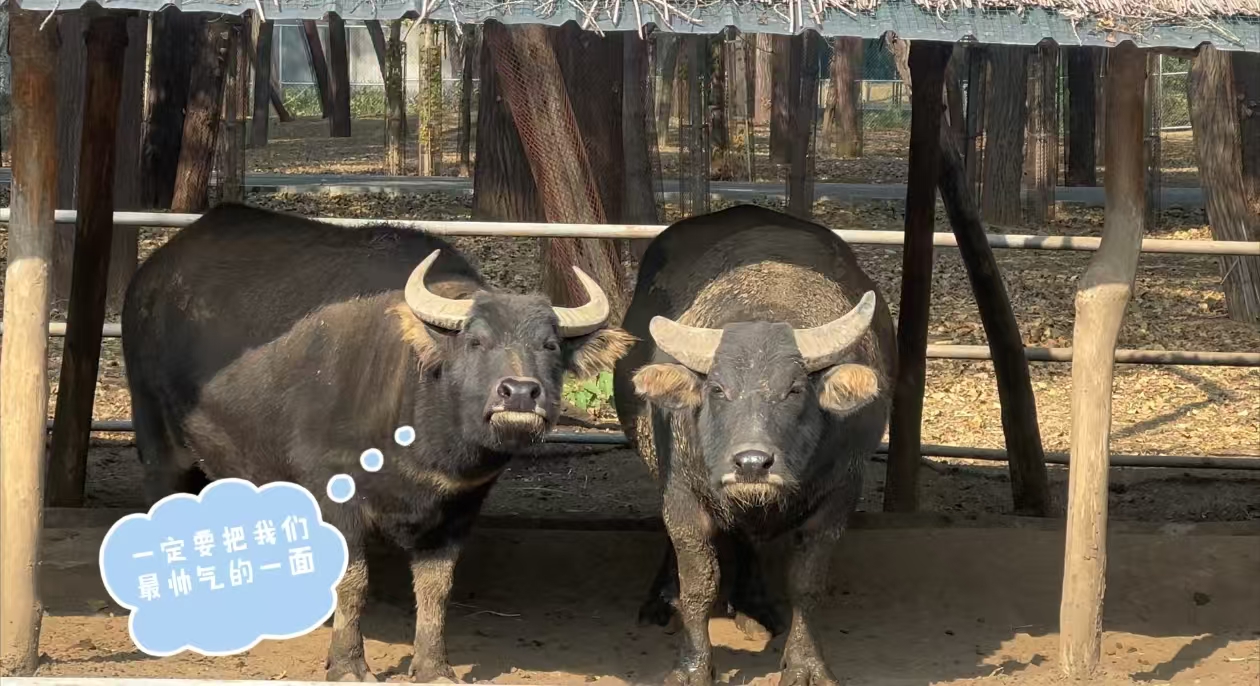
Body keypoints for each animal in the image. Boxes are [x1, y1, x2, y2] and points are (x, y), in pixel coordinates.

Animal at [121, 203, 635, 682]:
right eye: (475, 341)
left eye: (550, 345)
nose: (521, 392)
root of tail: (152, 273)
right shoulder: (333, 489)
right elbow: (352, 581)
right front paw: (348, 663)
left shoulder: (459, 506)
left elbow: (436, 588)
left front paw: (433, 666)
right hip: (156, 434)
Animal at [612, 204, 896, 686]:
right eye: (718, 389)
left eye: (795, 389)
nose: (751, 463)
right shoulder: (681, 493)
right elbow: (699, 583)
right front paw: (692, 667)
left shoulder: (839, 497)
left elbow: (806, 585)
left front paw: (804, 665)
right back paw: (662, 600)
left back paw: (754, 606)